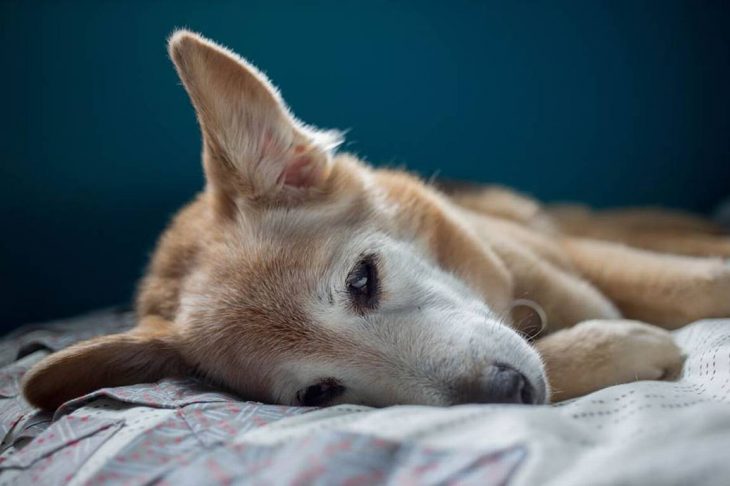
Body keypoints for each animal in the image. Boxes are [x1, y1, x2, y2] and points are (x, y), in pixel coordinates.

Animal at [21, 30, 728, 410]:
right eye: (319, 394)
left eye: (362, 280)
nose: (507, 396)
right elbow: (558, 353)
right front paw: (612, 347)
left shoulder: (581, 259)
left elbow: (687, 285)